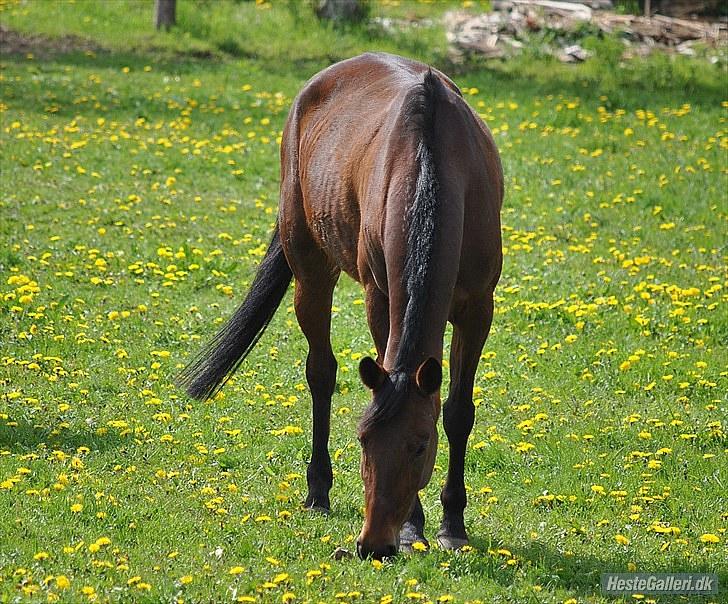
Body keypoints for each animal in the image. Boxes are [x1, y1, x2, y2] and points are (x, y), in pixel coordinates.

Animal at [179, 52, 504, 560]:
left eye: (419, 446)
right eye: (364, 442)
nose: (374, 544)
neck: (437, 164)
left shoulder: (477, 308)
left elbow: (457, 411)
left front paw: (453, 524)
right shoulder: (382, 297)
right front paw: (413, 527)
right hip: (311, 268)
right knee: (321, 373)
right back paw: (318, 490)